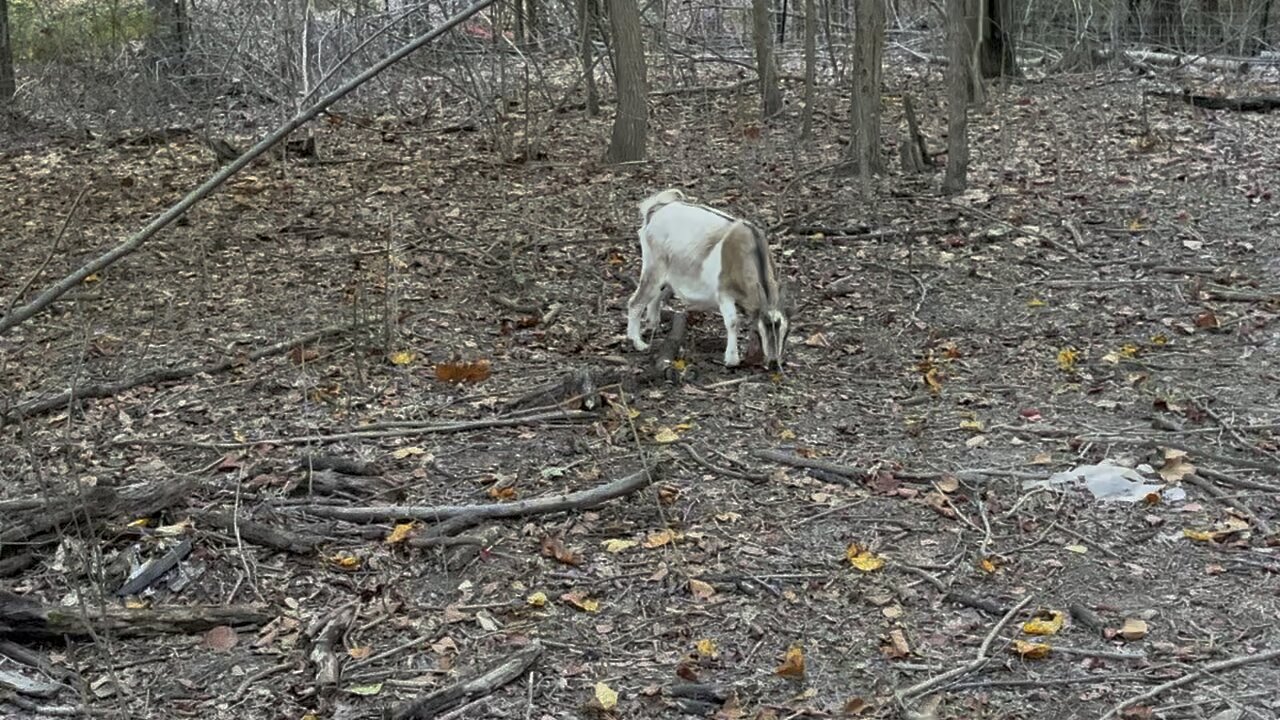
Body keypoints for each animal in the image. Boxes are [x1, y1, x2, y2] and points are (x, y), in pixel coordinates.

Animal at [622, 188, 783, 366]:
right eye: (766, 325)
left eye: (783, 330)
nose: (774, 361)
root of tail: (656, 208)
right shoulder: (724, 293)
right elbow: (733, 322)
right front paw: (732, 359)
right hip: (653, 265)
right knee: (636, 301)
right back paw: (637, 342)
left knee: (657, 294)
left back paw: (652, 325)